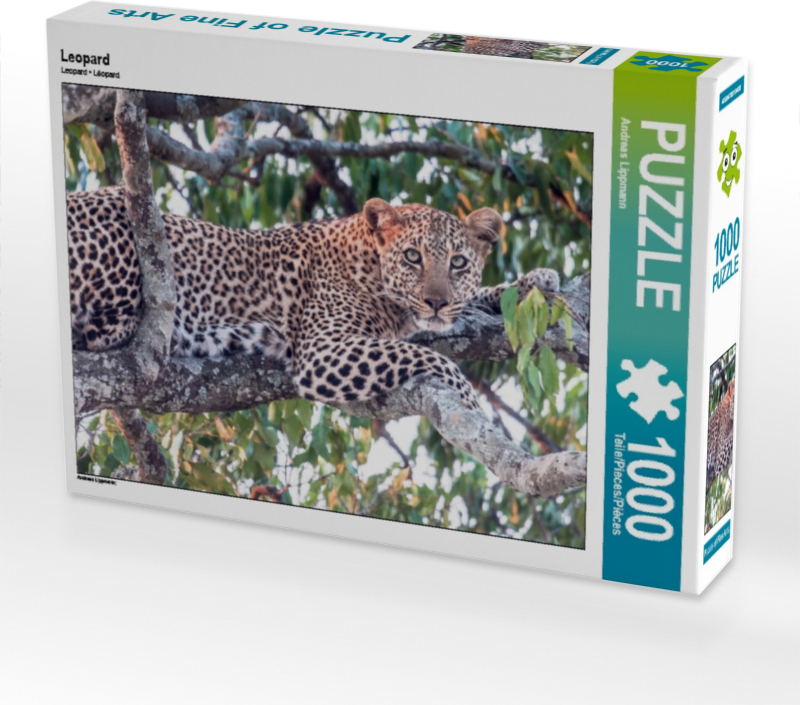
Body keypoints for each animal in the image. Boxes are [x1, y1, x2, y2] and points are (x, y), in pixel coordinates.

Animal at [68, 186, 559, 411]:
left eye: (457, 262)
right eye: (412, 257)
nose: (436, 302)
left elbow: (474, 300)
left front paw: (537, 280)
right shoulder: (325, 351)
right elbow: (432, 359)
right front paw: (470, 404)